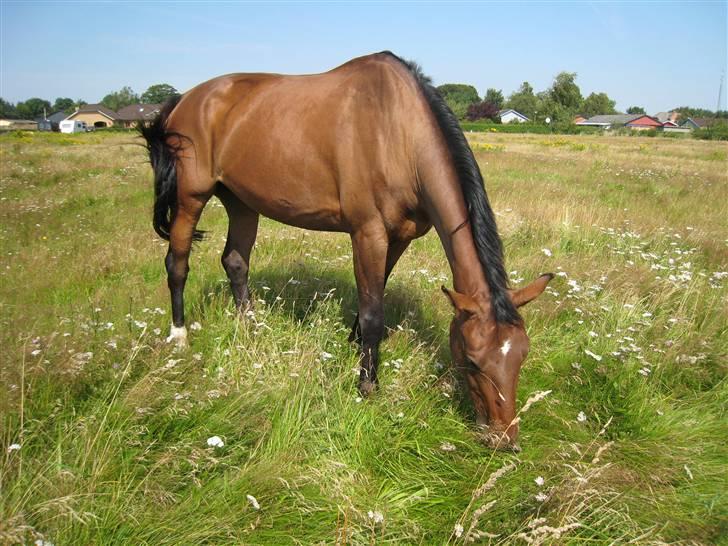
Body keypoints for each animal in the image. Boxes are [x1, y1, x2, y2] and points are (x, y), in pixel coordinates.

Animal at [142, 53, 552, 448]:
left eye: (522, 355)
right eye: (472, 360)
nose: (503, 440)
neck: (398, 132)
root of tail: (185, 99)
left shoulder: (399, 237)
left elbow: (375, 293)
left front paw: (355, 348)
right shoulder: (367, 233)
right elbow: (373, 313)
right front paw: (367, 385)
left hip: (241, 201)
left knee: (235, 262)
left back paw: (251, 329)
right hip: (191, 196)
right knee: (177, 263)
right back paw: (179, 337)